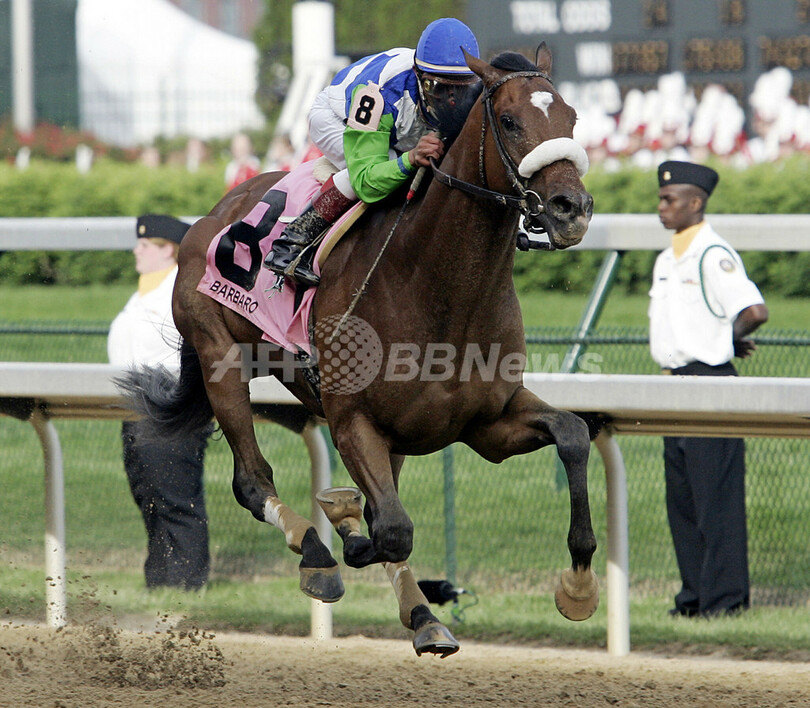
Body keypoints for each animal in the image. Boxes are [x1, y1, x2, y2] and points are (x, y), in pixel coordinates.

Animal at [118, 44, 597, 658]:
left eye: (572, 118)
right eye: (510, 121)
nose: (571, 208)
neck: (438, 286)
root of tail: (215, 213)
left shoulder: (485, 423)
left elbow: (573, 434)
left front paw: (578, 584)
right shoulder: (353, 422)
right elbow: (389, 529)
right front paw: (345, 539)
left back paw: (423, 616)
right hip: (218, 357)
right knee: (253, 481)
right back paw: (319, 554)